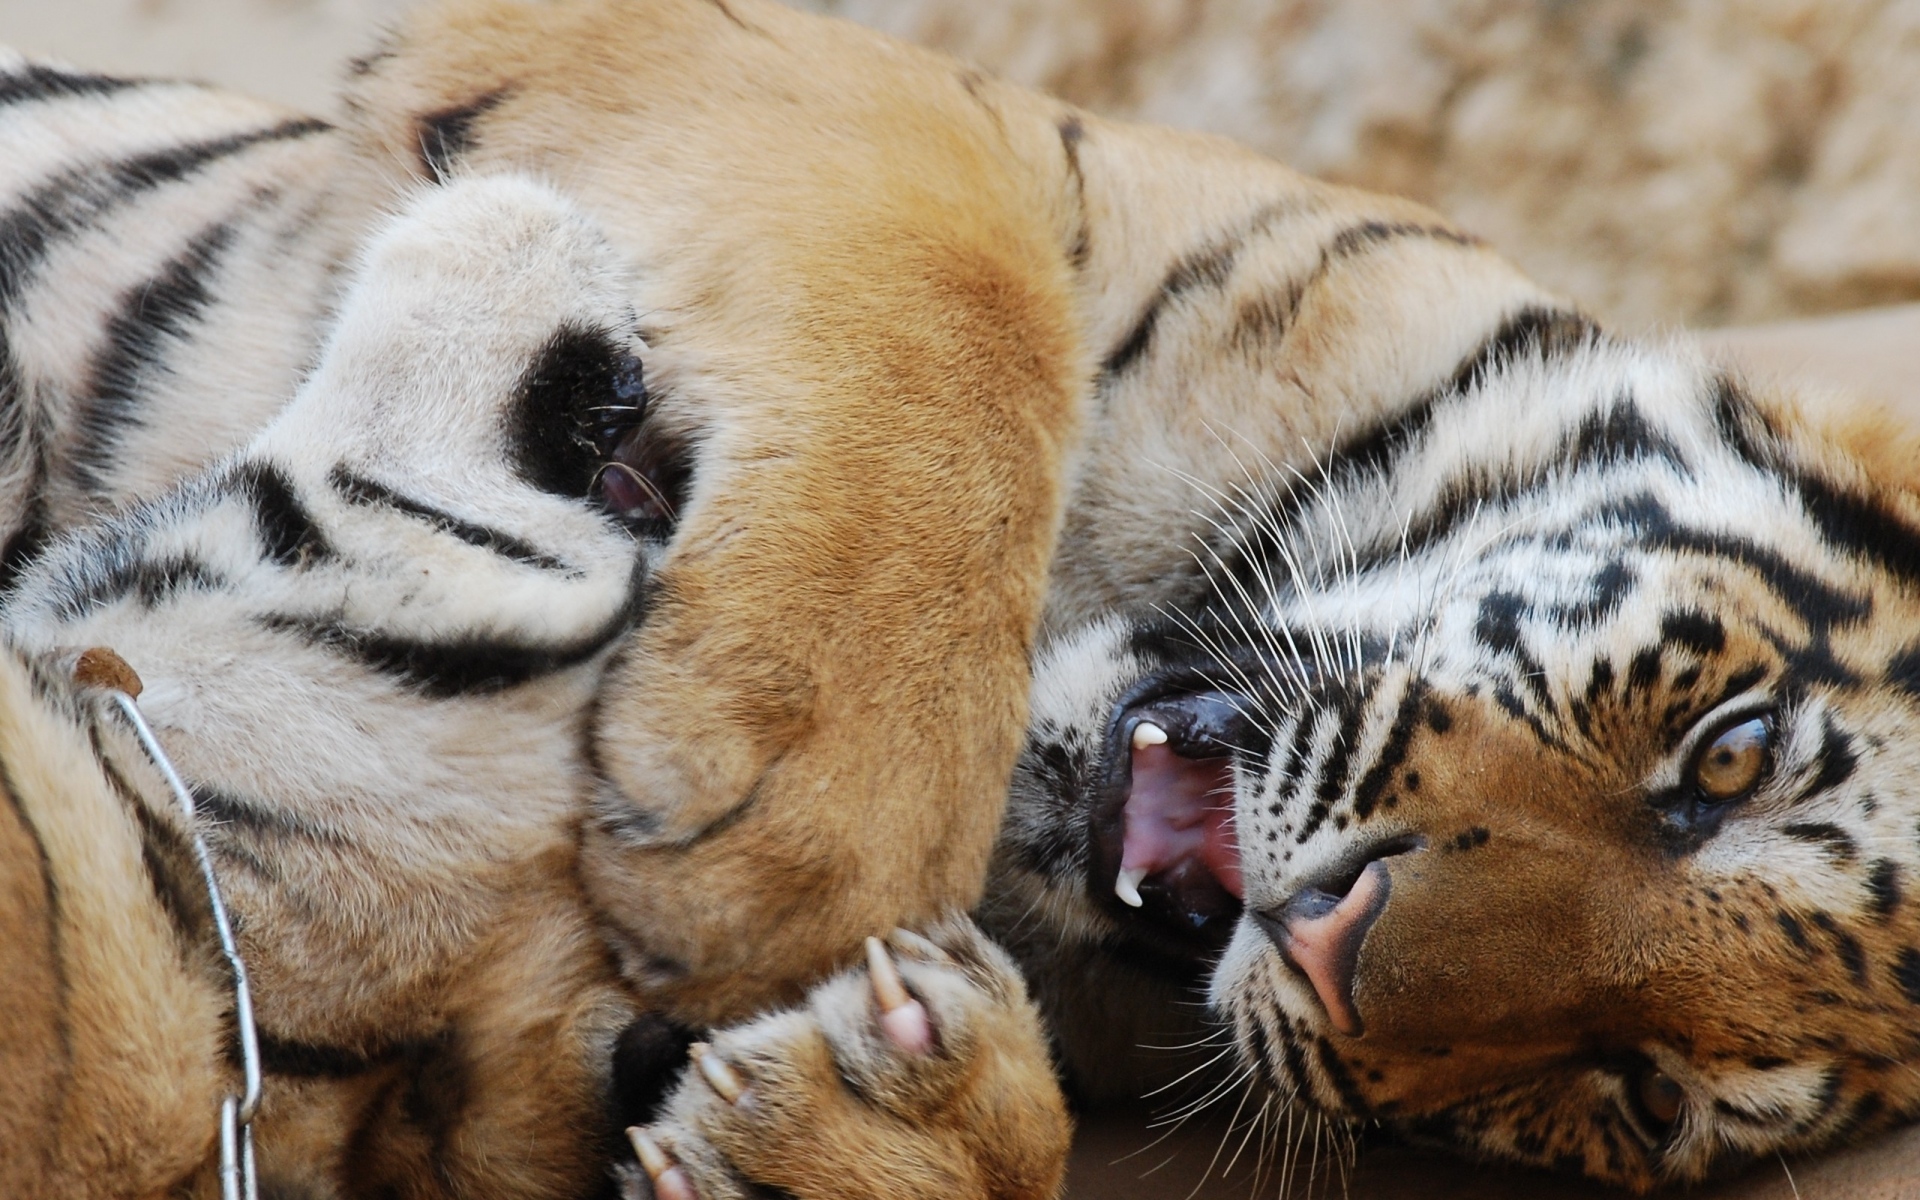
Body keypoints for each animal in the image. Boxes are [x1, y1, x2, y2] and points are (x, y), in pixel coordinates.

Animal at [5, 0, 1920, 1198]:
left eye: (1638, 1091)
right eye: (1727, 759)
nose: (1326, 943)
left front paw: (869, 1117)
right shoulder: (839, 91)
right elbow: (964, 292)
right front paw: (794, 834)